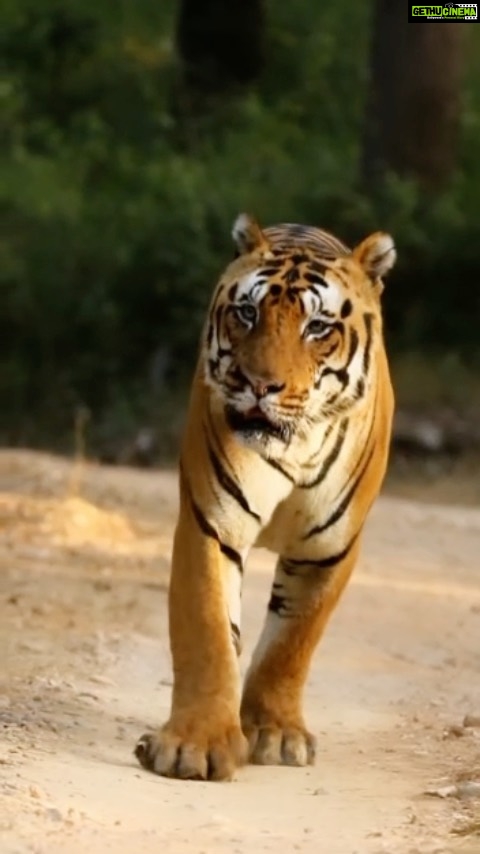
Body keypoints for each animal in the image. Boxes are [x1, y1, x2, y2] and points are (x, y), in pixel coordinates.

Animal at [135, 213, 396, 781]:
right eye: (247, 313)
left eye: (317, 327)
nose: (259, 385)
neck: (296, 445)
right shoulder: (212, 524)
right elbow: (208, 631)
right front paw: (194, 745)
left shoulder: (329, 549)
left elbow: (291, 644)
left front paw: (275, 733)